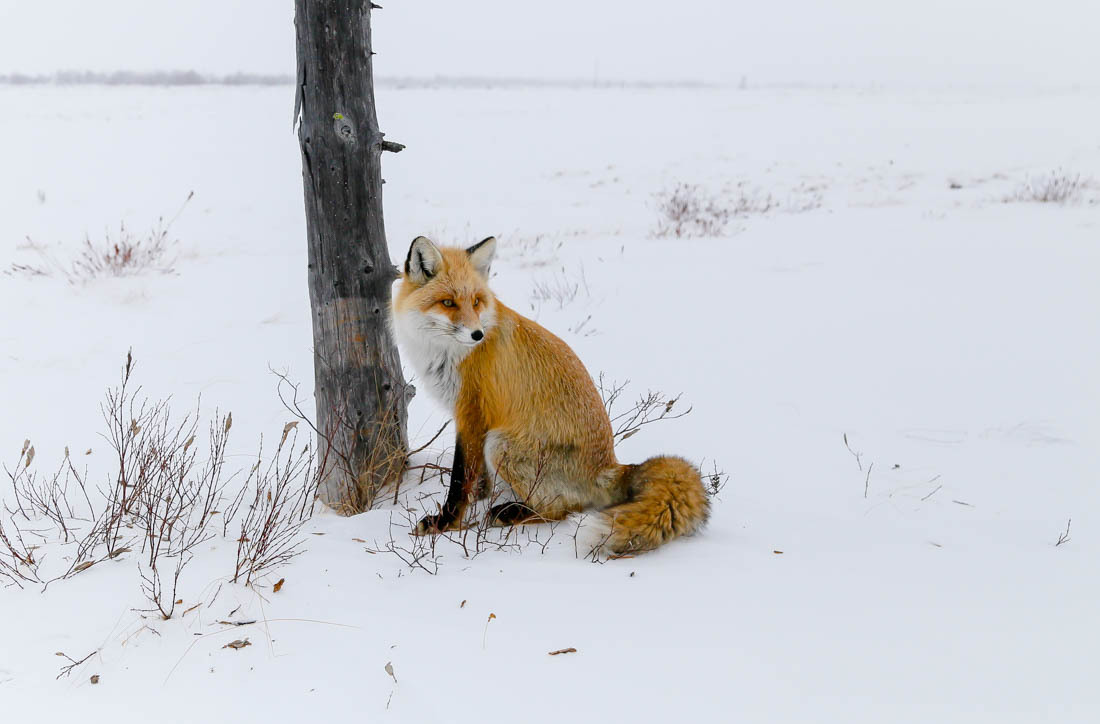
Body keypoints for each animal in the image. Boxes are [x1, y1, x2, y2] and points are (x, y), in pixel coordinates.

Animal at [391, 236, 708, 552]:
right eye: (448, 302)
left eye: (476, 301)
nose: (477, 334)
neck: (446, 354)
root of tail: (608, 467)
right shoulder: (470, 419)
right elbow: (475, 475)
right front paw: (479, 496)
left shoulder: (471, 412)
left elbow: (459, 479)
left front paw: (447, 523)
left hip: (500, 444)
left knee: (560, 509)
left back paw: (510, 513)